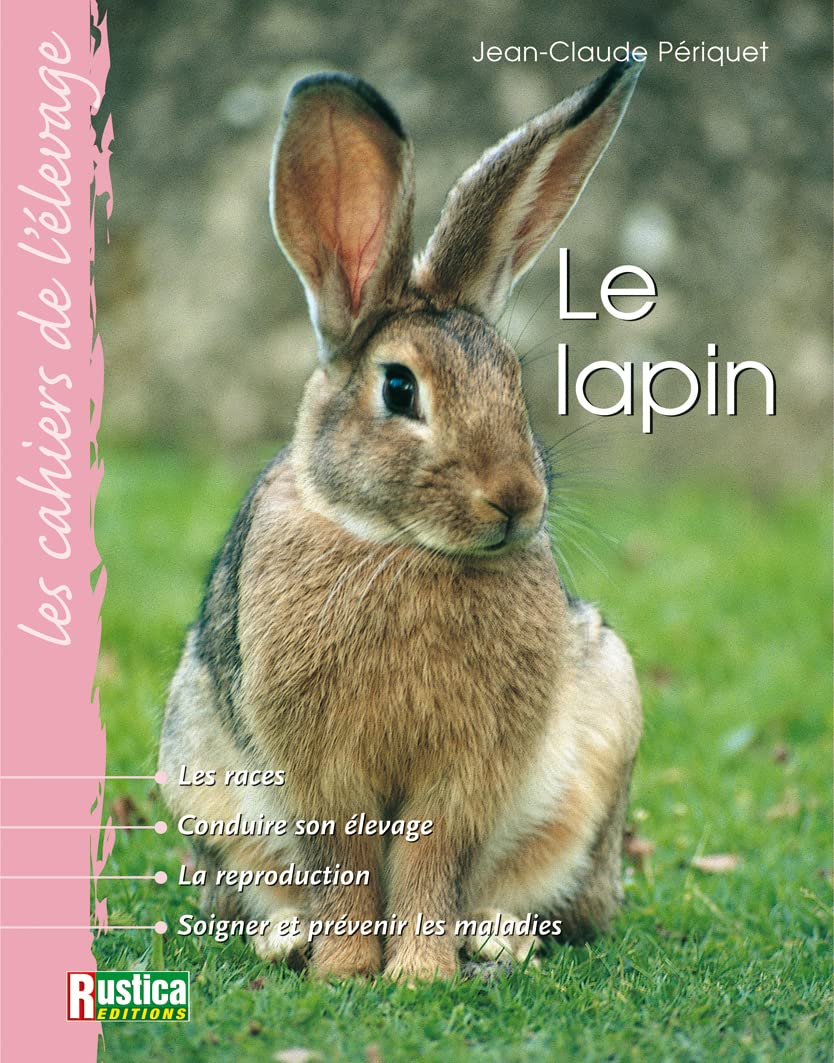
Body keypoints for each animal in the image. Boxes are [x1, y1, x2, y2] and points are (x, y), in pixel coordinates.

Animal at [159, 58, 643, 982]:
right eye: (398, 388)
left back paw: (495, 937)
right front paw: (347, 968)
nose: (516, 498)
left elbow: (431, 858)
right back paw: (288, 937)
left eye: (513, 381)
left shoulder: (464, 771)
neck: (397, 544)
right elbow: (347, 859)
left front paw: (420, 972)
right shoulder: (322, 772)